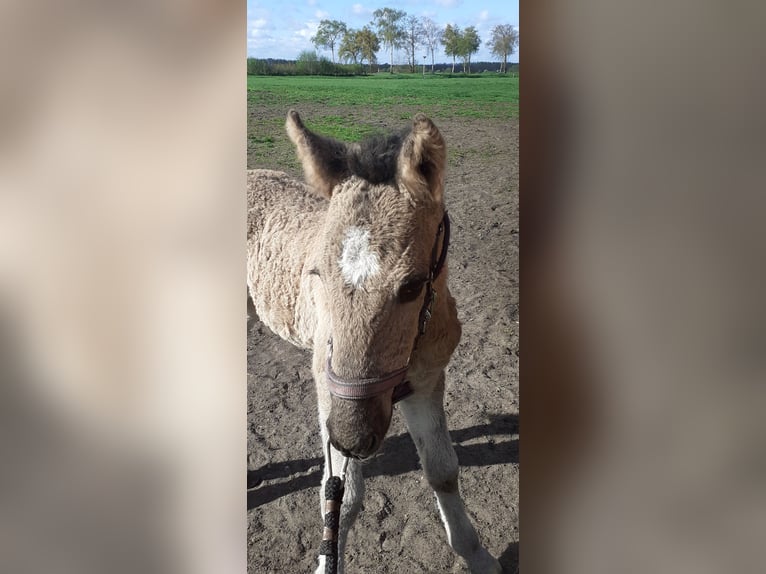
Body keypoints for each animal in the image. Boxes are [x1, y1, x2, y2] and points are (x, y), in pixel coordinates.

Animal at [247, 110, 501, 573]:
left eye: (413, 285)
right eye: (317, 274)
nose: (353, 438)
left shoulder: (427, 382)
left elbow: (443, 469)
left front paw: (478, 556)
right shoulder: (328, 386)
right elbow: (341, 498)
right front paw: (325, 563)